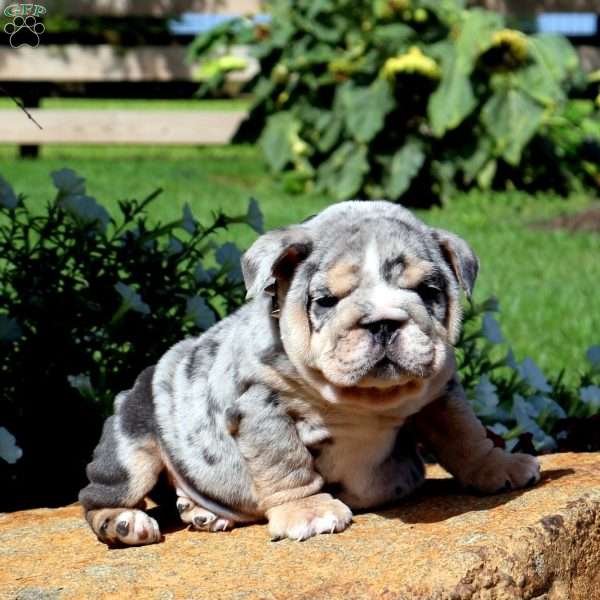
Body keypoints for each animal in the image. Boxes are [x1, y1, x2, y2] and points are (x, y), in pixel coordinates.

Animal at [77, 200, 540, 544]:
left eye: (428, 292)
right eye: (326, 300)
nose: (384, 322)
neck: (364, 398)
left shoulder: (441, 394)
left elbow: (465, 434)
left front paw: (499, 465)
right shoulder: (261, 408)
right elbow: (285, 461)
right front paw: (308, 511)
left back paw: (202, 511)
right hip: (132, 444)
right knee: (99, 493)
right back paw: (125, 523)